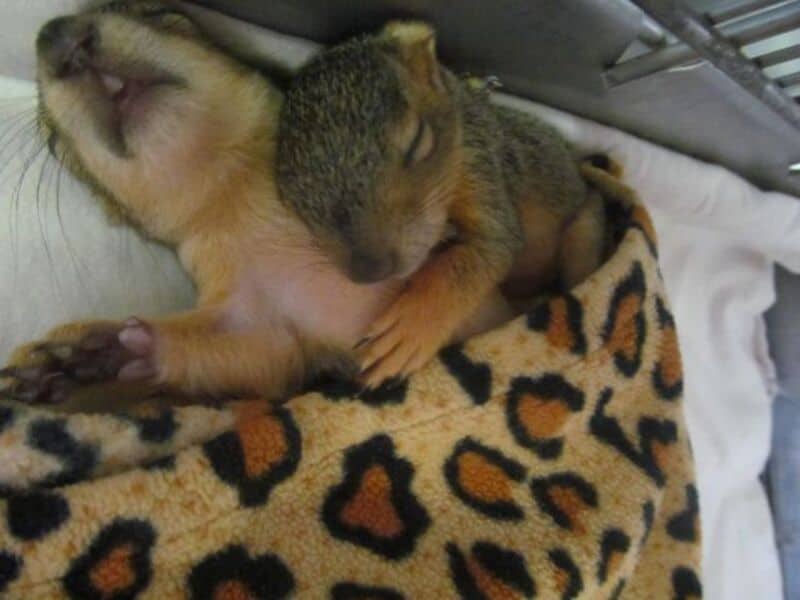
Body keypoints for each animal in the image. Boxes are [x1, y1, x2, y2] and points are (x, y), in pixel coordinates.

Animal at [0, 3, 514, 406]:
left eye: (168, 16)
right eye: (54, 144)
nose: (57, 36)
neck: (235, 197)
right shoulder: (259, 315)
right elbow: (258, 356)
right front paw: (93, 355)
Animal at [276, 21, 606, 388]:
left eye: (418, 141)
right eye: (289, 192)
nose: (369, 271)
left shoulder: (483, 167)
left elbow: (479, 254)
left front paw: (409, 330)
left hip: (586, 224)